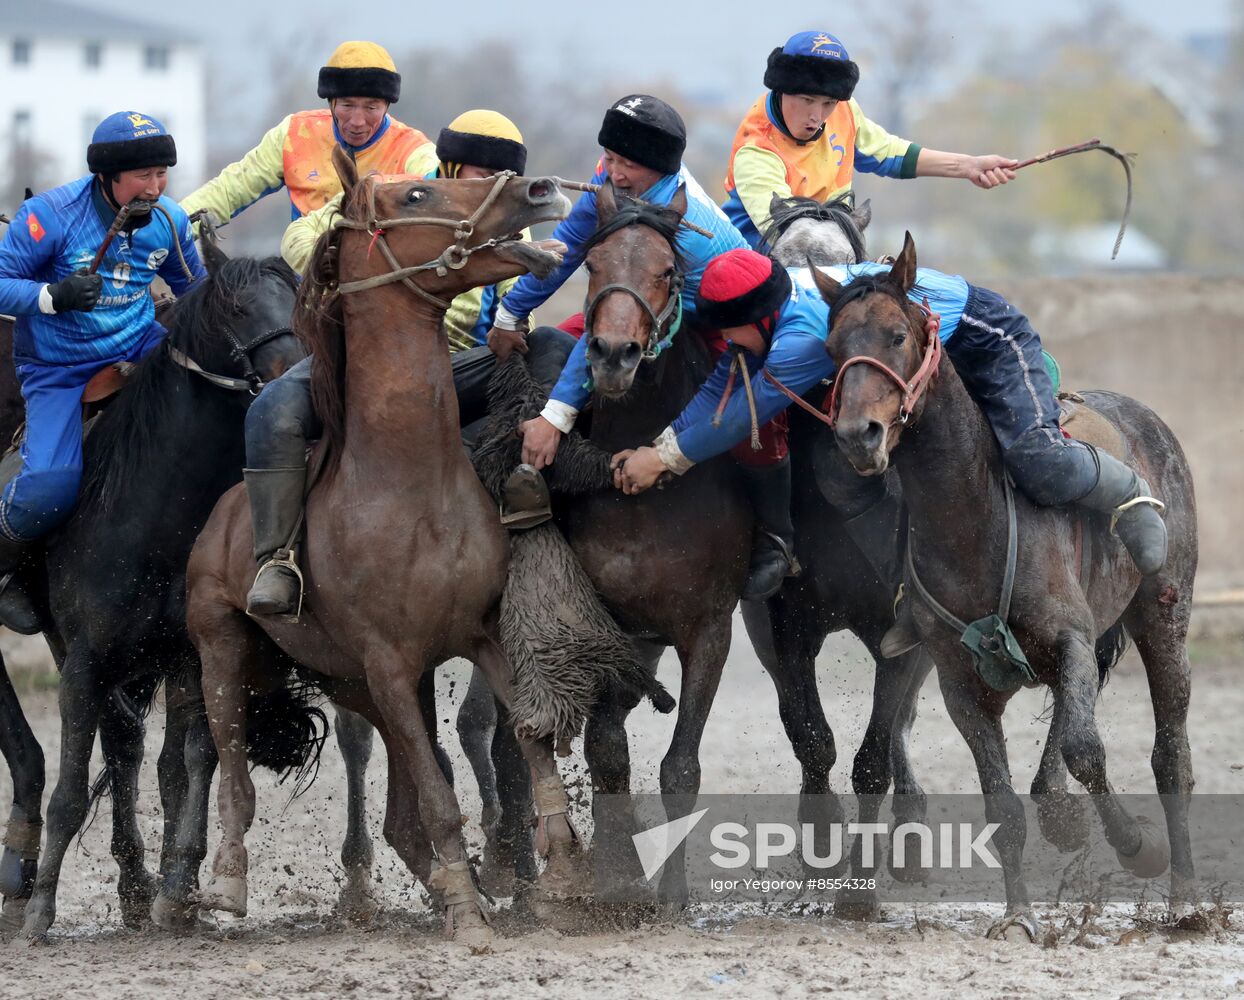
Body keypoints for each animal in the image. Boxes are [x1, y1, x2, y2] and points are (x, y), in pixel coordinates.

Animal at [2, 246, 308, 943]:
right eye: (236, 307)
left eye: (296, 296)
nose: (293, 374)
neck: (155, 502)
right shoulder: (85, 661)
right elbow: (69, 790)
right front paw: (40, 911)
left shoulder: (190, 656)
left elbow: (187, 765)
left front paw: (177, 888)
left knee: (127, 749)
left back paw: (137, 885)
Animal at [185, 148, 583, 952]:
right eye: (417, 194)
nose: (540, 190)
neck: (409, 486)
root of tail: (224, 517)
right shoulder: (389, 662)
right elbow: (438, 799)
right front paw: (469, 915)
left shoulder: (477, 637)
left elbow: (528, 741)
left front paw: (556, 879)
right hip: (225, 649)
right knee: (236, 773)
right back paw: (228, 886)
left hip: (352, 680)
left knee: (397, 808)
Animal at [814, 233, 1197, 939]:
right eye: (831, 349)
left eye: (896, 335)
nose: (858, 436)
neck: (974, 519)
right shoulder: (960, 682)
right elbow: (1002, 801)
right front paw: (1019, 915)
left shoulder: (1070, 636)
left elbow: (1086, 749)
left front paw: (1138, 846)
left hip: (1164, 616)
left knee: (1170, 756)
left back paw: (1184, 896)